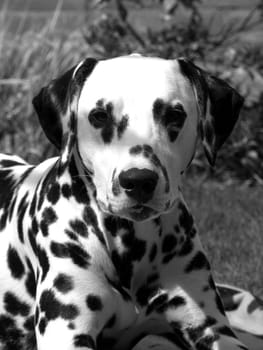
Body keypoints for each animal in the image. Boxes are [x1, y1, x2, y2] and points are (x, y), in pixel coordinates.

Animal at [0, 54, 263, 350]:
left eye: (174, 115)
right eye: (99, 116)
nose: (138, 180)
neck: (130, 243)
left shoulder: (212, 328)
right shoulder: (67, 333)